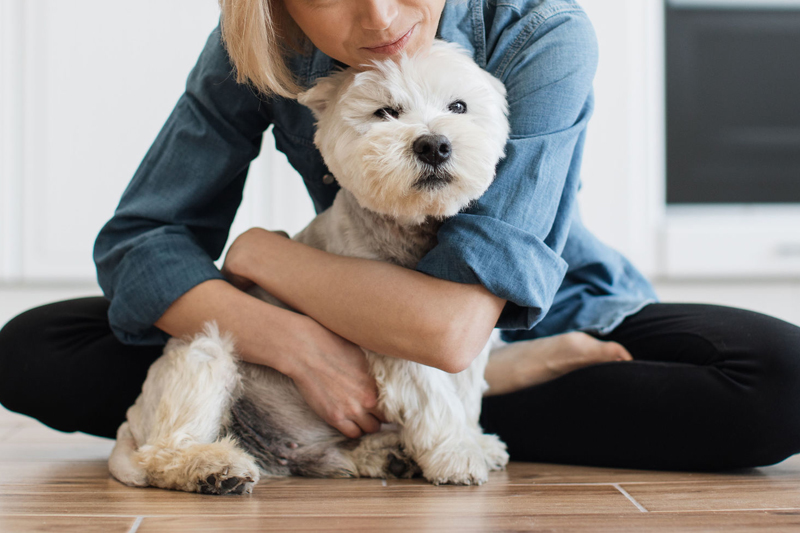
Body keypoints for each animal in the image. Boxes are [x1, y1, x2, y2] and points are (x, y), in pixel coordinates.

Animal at [108, 39, 512, 492]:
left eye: (458, 106)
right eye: (385, 112)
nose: (433, 145)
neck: (409, 229)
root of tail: (129, 428)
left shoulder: (466, 338)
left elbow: (465, 392)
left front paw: (477, 441)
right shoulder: (400, 333)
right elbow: (435, 397)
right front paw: (457, 453)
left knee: (320, 458)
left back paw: (385, 455)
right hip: (204, 358)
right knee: (164, 450)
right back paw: (214, 468)